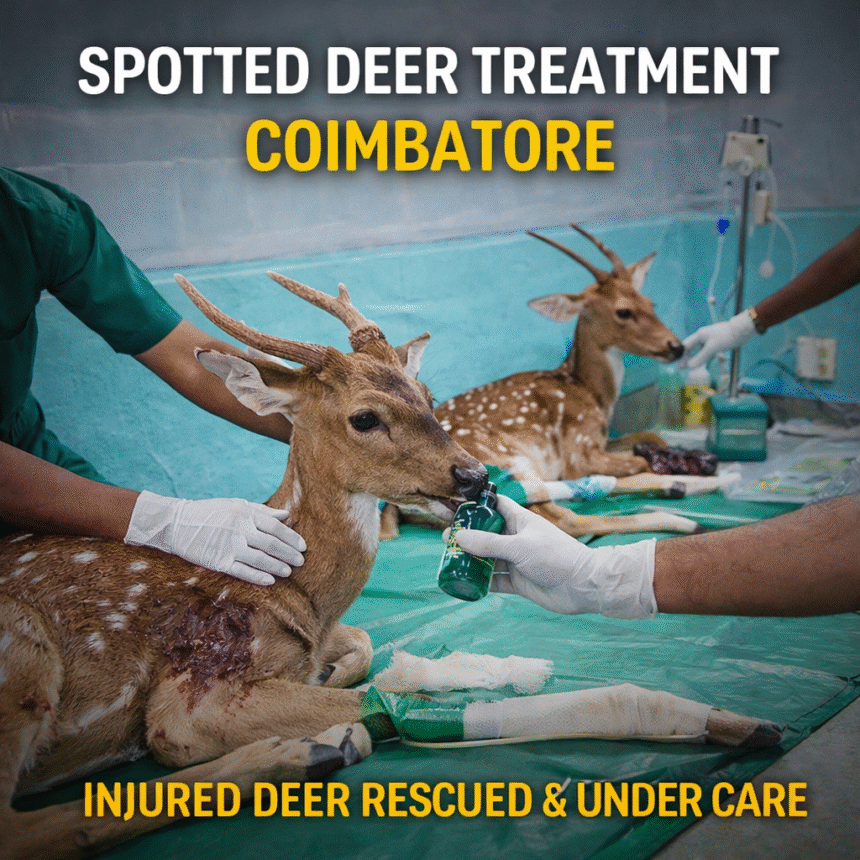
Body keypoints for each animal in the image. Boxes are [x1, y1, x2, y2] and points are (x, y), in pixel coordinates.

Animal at [0, 271, 778, 860]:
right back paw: (313, 748)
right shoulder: (192, 695)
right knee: (21, 827)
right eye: (365, 417)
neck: (295, 593)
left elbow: (366, 645)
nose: (475, 477)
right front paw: (733, 722)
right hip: (24, 653)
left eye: (429, 399)